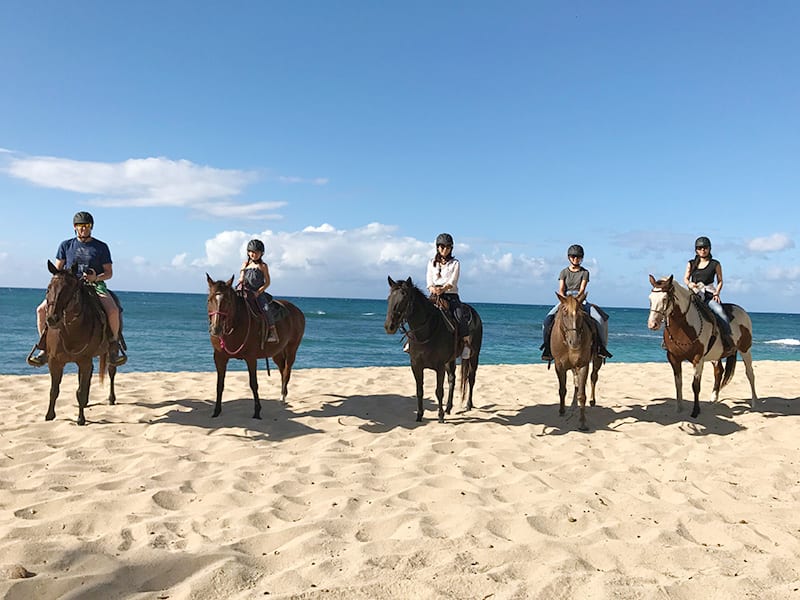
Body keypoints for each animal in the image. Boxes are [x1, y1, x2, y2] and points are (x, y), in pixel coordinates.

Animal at [41, 260, 120, 424]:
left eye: (68, 290)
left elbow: (80, 392)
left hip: (110, 352)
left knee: (111, 371)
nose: (52, 319)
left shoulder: (84, 361)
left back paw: (111, 398)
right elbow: (54, 390)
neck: (70, 332)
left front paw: (81, 419)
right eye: (48, 288)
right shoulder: (54, 362)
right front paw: (49, 416)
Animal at [206, 276, 306, 420]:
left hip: (292, 348)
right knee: (282, 370)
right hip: (277, 353)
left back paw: (282, 396)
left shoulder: (251, 358)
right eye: (209, 300)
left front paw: (257, 412)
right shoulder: (219, 358)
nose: (216, 329)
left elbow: (253, 384)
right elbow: (220, 384)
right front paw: (216, 411)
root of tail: (297, 311)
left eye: (228, 302)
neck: (235, 324)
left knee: (287, 370)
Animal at [384, 276, 484, 422]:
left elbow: (439, 391)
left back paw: (468, 405)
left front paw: (440, 416)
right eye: (389, 298)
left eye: (404, 298)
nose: (389, 326)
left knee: (471, 378)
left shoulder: (439, 366)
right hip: (451, 360)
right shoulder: (416, 365)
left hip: (474, 355)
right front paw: (419, 415)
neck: (426, 332)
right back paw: (448, 408)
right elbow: (419, 390)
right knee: (452, 379)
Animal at [552, 292, 604, 428]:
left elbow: (582, 395)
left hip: (597, 360)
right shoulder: (559, 366)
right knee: (575, 382)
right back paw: (572, 405)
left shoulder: (583, 365)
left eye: (581, 314)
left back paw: (592, 400)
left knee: (593, 377)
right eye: (564, 312)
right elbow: (562, 390)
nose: (574, 342)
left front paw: (582, 422)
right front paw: (562, 410)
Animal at [648, 276, 760, 420]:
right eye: (650, 299)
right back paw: (713, 399)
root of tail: (742, 311)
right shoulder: (673, 358)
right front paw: (679, 408)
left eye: (665, 299)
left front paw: (695, 411)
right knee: (719, 372)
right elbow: (678, 383)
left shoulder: (698, 359)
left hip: (746, 350)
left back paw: (754, 402)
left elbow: (695, 386)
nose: (652, 324)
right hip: (715, 356)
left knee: (750, 373)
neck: (684, 327)